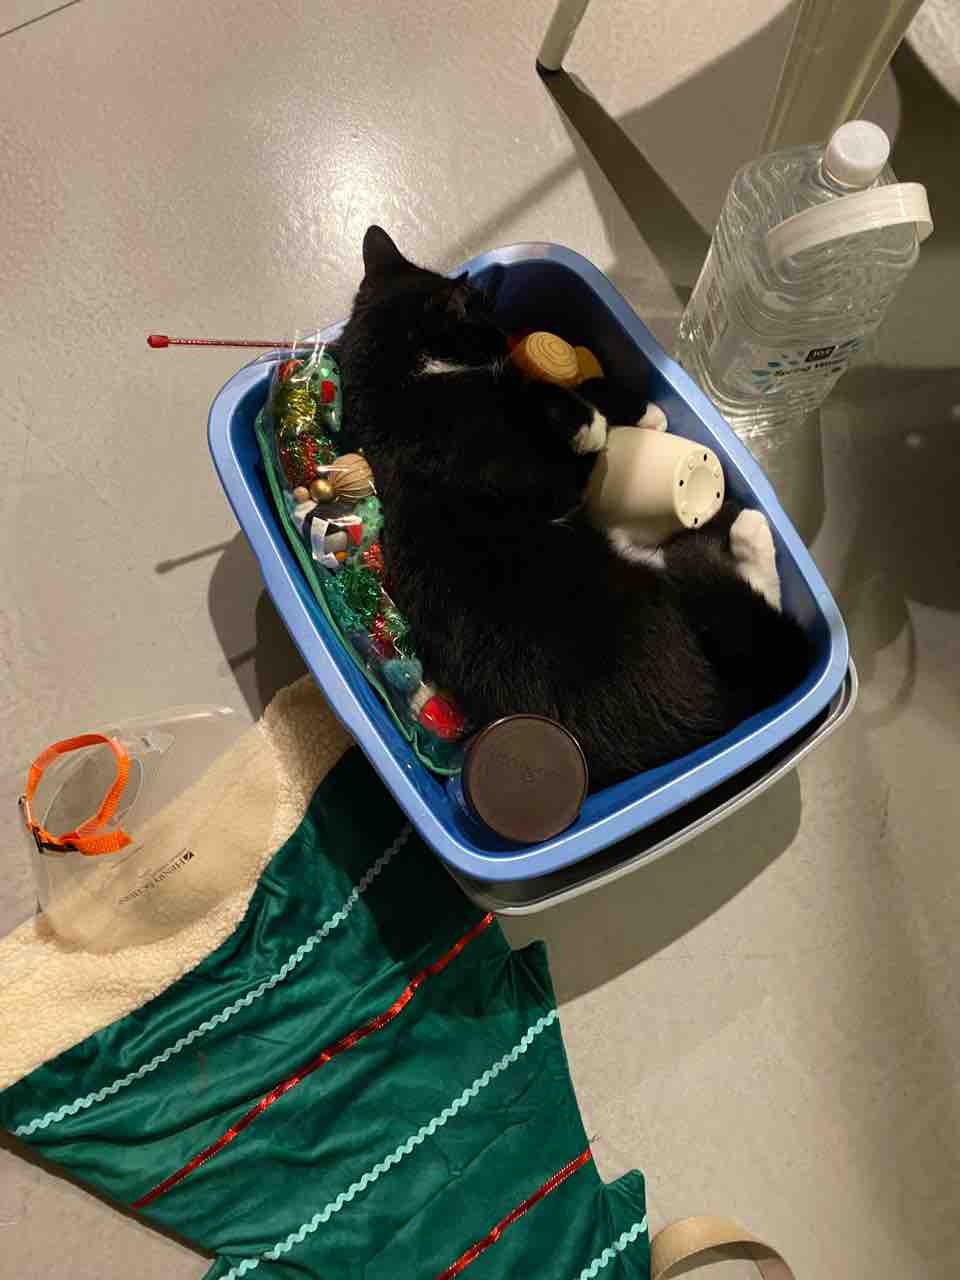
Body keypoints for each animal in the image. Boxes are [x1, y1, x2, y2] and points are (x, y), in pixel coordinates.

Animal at [335, 227, 809, 788]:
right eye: (484, 317)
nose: (505, 336)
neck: (400, 389)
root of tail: (712, 718)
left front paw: (633, 412)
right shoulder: (533, 477)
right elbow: (566, 433)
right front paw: (600, 421)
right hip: (662, 594)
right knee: (757, 620)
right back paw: (750, 532)